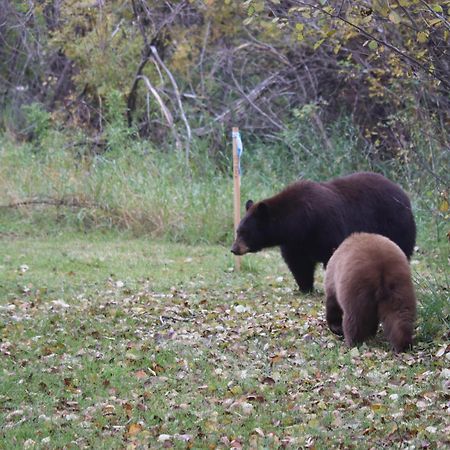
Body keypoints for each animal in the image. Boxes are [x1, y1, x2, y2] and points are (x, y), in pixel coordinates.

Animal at [230, 171, 416, 292]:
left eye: (245, 232)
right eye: (238, 230)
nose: (234, 249)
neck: (299, 222)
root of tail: (403, 193)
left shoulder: (326, 228)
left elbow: (332, 254)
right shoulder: (294, 242)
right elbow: (298, 263)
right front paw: (305, 287)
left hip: (395, 224)